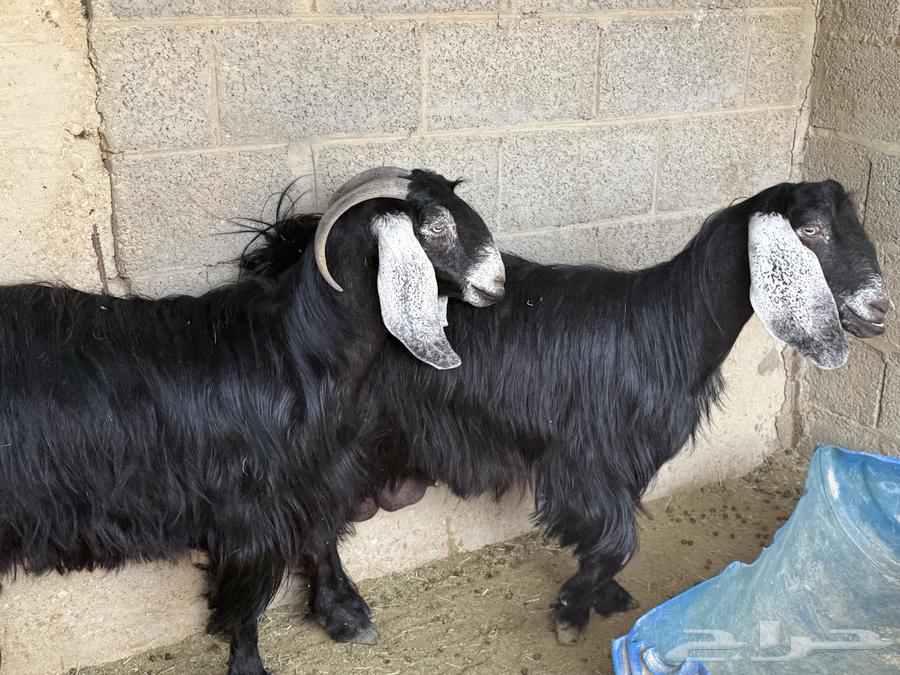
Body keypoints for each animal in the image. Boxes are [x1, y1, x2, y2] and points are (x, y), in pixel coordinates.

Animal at [0, 168, 505, 675]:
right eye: (435, 226)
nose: (498, 285)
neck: (299, 348)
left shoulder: (313, 476)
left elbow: (319, 535)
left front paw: (343, 615)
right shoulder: (247, 508)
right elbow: (246, 600)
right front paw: (248, 664)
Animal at [240, 179, 890, 645]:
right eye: (810, 230)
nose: (878, 309)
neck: (666, 327)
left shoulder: (628, 459)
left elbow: (611, 533)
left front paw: (605, 597)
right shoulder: (585, 458)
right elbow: (616, 538)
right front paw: (572, 610)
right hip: (335, 442)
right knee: (316, 522)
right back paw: (345, 616)